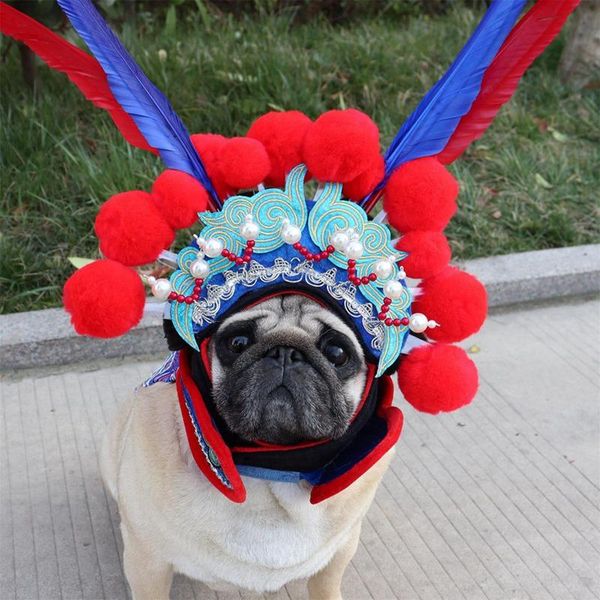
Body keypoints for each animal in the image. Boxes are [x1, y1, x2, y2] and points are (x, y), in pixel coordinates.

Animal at [102, 296, 394, 600]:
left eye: (337, 353)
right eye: (237, 343)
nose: (285, 352)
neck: (269, 476)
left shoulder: (342, 548)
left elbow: (325, 584)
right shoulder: (147, 561)